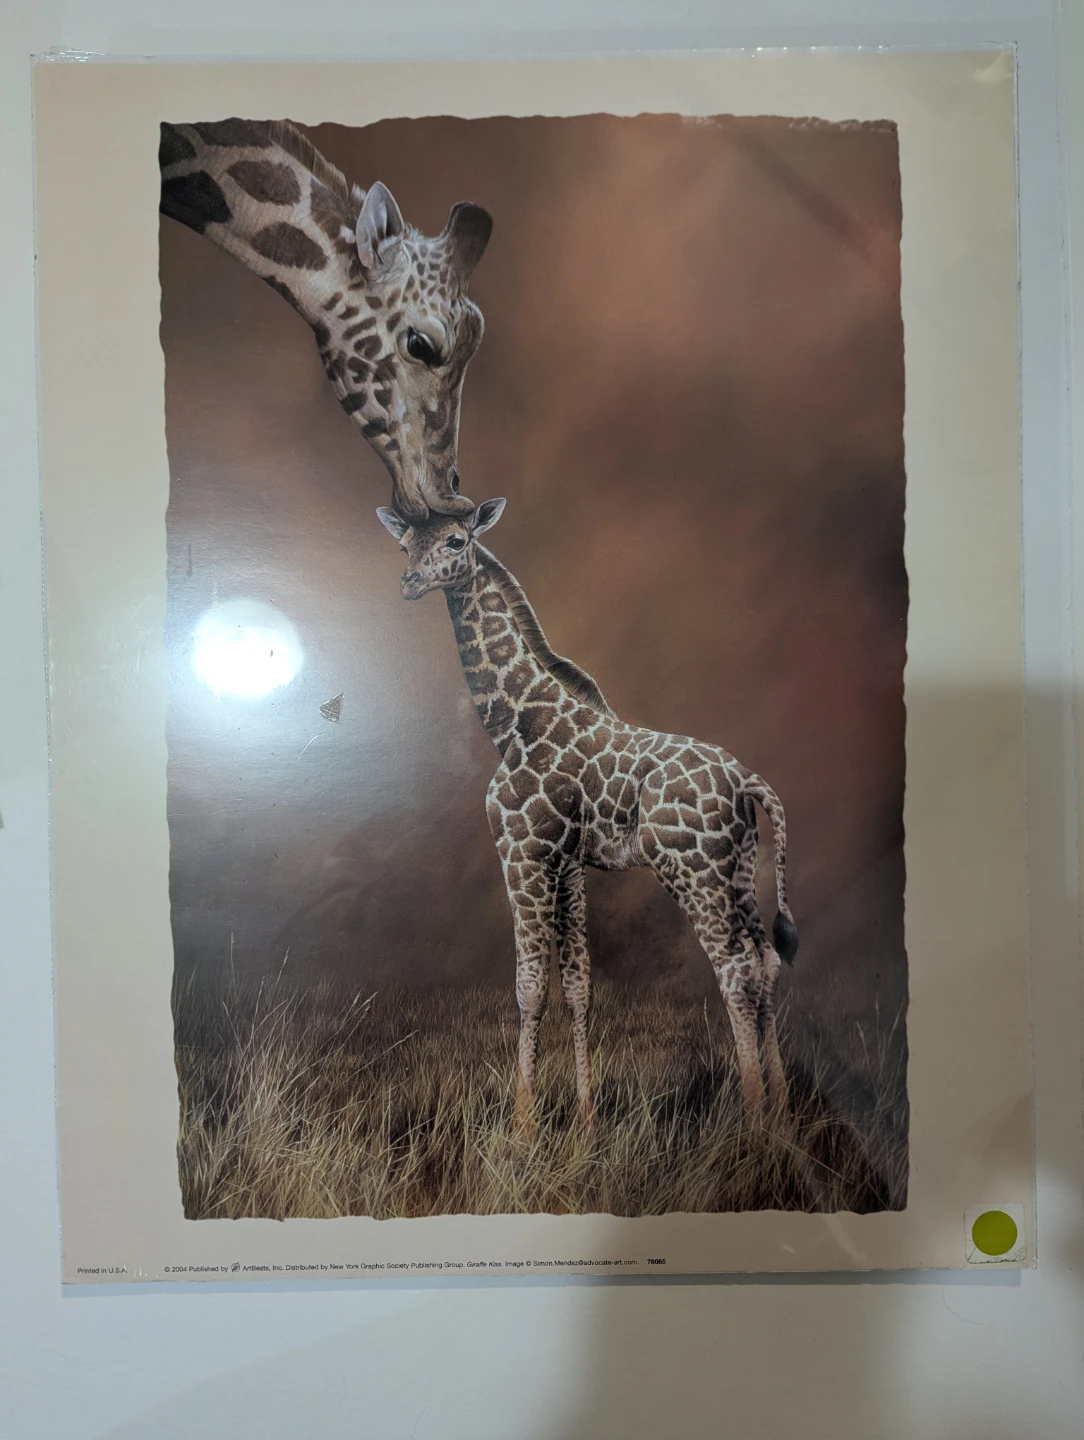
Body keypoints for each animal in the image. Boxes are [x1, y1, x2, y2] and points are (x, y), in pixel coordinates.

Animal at [376, 498, 799, 1134]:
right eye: (406, 545)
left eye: (456, 541)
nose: (408, 581)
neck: (515, 724)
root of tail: (747, 780)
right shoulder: (569, 864)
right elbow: (578, 985)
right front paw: (585, 1120)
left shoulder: (523, 852)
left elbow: (530, 986)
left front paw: (523, 1125)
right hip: (742, 870)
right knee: (768, 960)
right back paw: (783, 1116)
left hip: (692, 870)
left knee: (736, 969)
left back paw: (753, 1126)